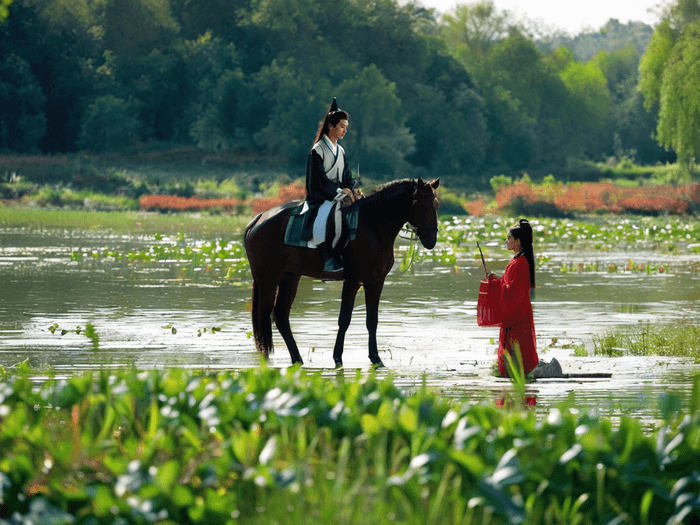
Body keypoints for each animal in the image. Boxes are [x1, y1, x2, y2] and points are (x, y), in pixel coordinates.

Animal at [241, 178, 438, 366]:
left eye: (435, 204)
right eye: (421, 204)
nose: (431, 240)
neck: (373, 225)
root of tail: (259, 219)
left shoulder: (375, 282)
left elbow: (372, 320)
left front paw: (375, 358)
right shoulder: (352, 281)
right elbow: (344, 319)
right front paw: (337, 357)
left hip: (289, 277)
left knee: (281, 316)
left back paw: (297, 358)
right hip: (268, 278)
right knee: (264, 315)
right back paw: (266, 357)